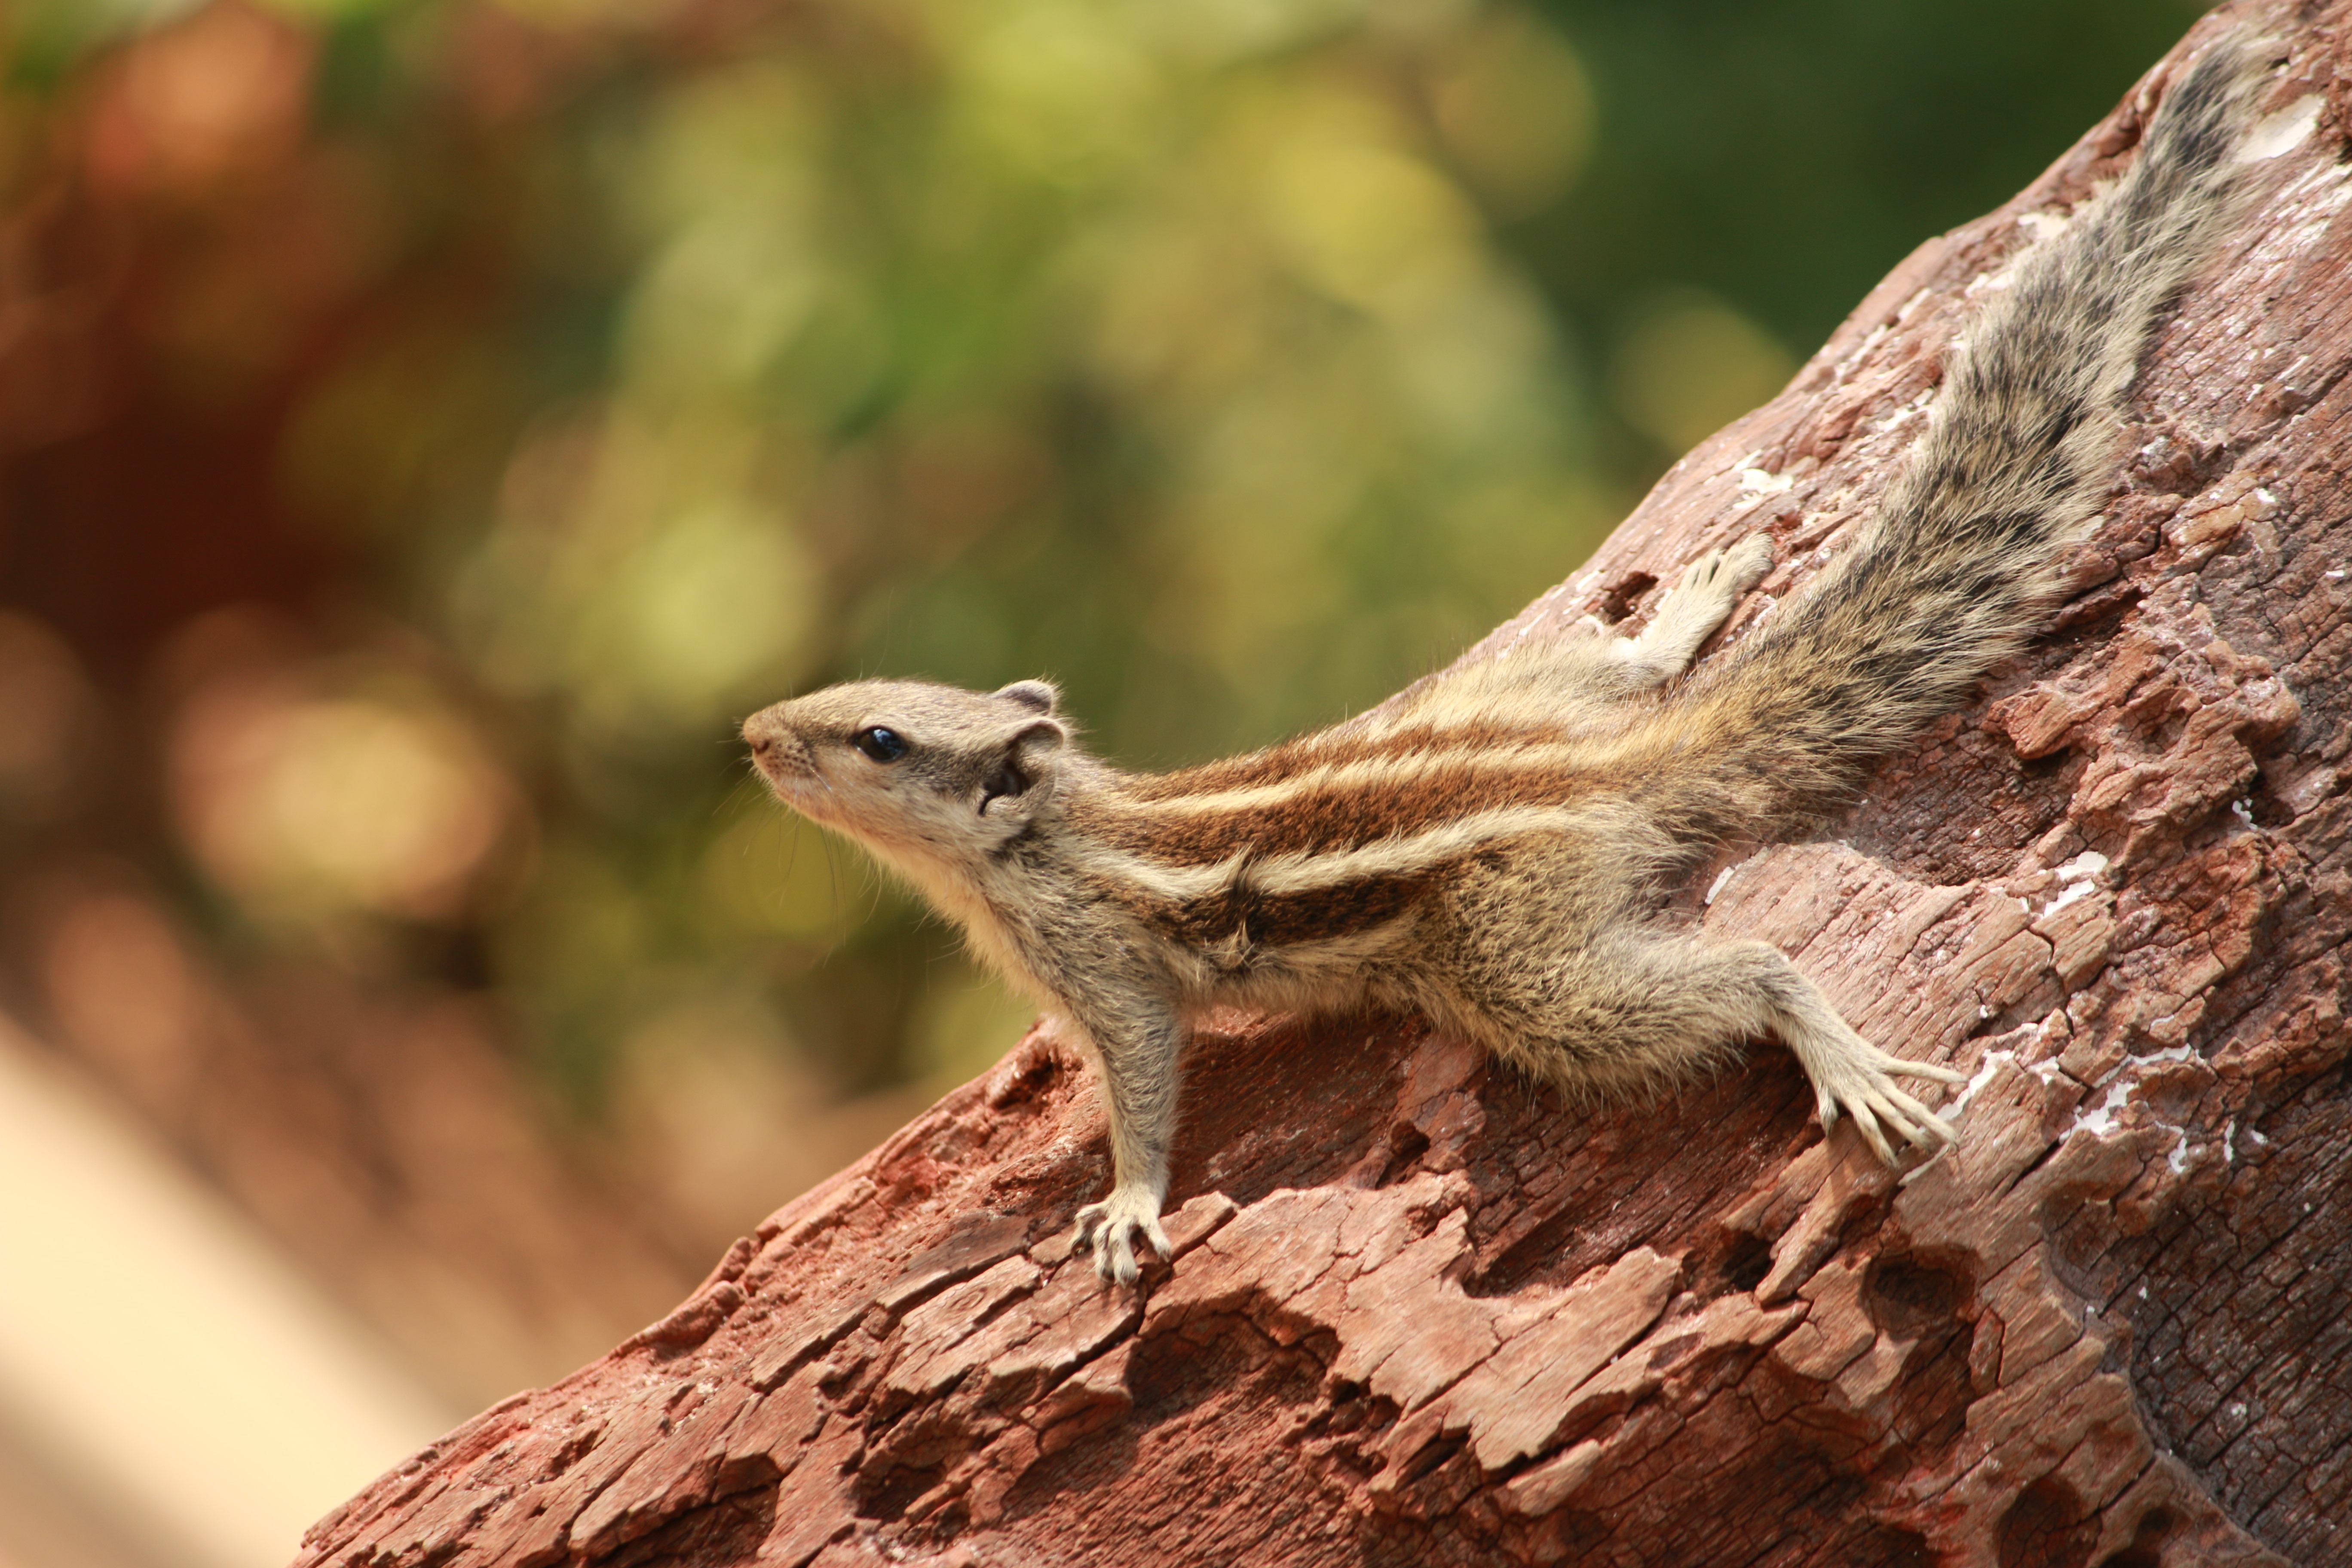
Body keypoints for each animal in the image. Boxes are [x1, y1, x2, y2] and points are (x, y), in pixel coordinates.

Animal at [744, 37, 2270, 1284]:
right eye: (843, 702)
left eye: (877, 740)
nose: (754, 734)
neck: (1041, 840)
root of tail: (1591, 770)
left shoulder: (1110, 975)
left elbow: (1145, 1087)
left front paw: (1126, 1203)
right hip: (1504, 690)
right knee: (1617, 672)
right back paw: (1678, 611)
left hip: (1523, 967)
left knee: (1743, 967)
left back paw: (1823, 1038)